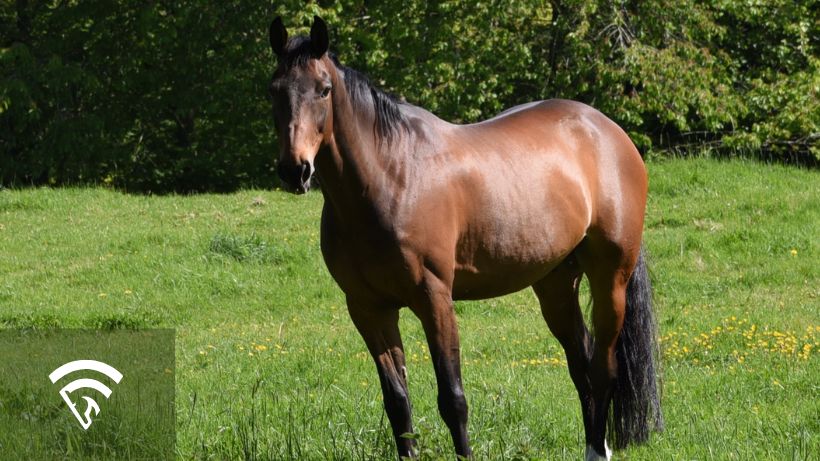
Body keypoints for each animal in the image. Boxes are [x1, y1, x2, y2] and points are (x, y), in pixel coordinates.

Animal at [266, 15, 664, 460]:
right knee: (582, 364)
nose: (295, 170)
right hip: (557, 284)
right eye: (274, 90)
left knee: (603, 369)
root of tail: (608, 131)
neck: (391, 177)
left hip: (610, 278)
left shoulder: (434, 298)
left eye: (324, 89)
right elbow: (397, 403)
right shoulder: (368, 309)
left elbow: (452, 398)